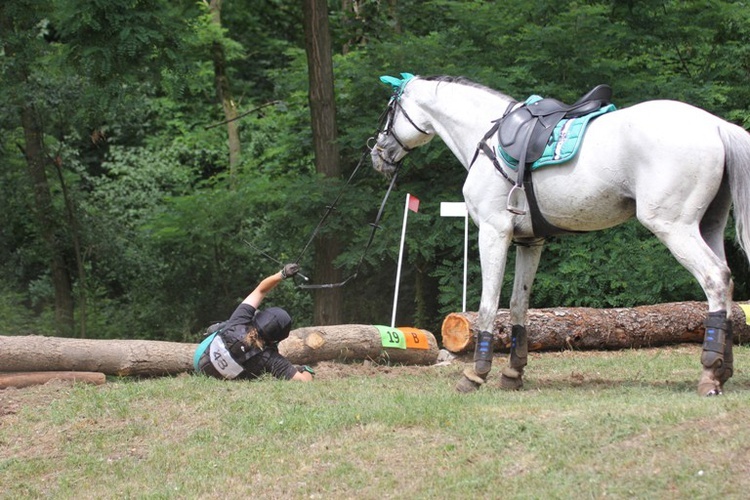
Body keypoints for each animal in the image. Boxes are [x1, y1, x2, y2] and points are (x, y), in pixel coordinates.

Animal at [374, 74, 750, 396]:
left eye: (389, 109)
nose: (377, 153)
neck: (486, 135)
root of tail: (716, 125)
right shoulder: (530, 241)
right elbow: (518, 305)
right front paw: (513, 373)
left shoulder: (495, 233)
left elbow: (488, 305)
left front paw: (476, 374)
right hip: (708, 227)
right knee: (727, 282)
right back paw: (723, 370)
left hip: (674, 226)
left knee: (714, 278)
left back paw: (709, 373)